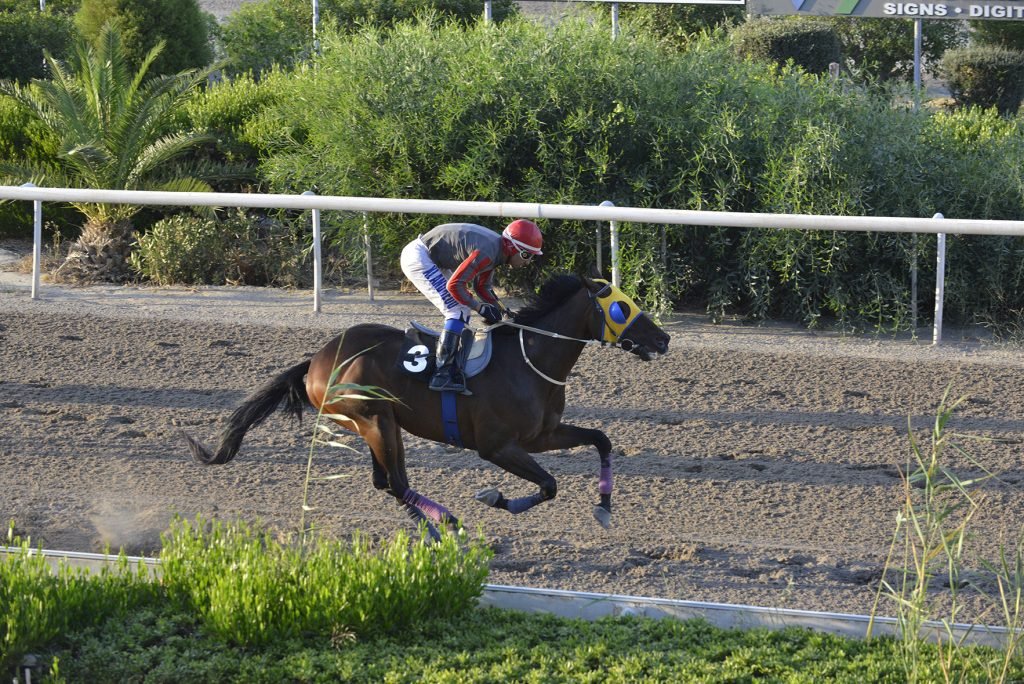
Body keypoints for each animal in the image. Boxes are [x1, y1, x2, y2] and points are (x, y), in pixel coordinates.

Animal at [185, 273, 671, 539]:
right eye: (622, 308)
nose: (664, 338)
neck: (530, 359)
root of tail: (317, 361)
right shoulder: (496, 446)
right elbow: (549, 485)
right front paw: (494, 496)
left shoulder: (542, 434)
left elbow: (600, 440)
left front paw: (605, 508)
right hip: (372, 418)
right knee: (397, 484)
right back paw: (446, 524)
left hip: (380, 424)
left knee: (386, 483)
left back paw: (434, 527)